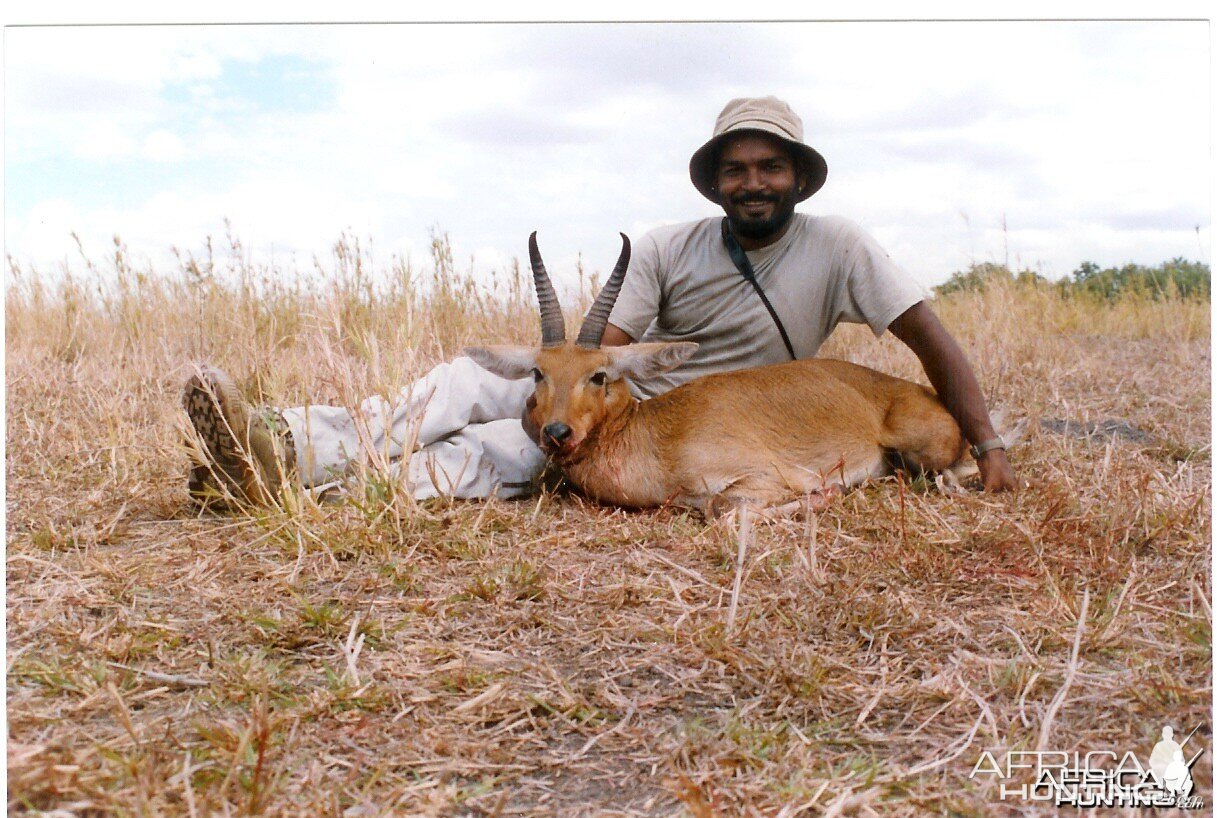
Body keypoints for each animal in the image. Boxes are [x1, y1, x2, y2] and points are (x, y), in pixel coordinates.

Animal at [464, 233, 997, 513]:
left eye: (599, 375)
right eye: (538, 373)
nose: (557, 432)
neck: (654, 435)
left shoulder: (755, 481)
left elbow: (724, 510)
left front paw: (827, 492)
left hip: (924, 451)